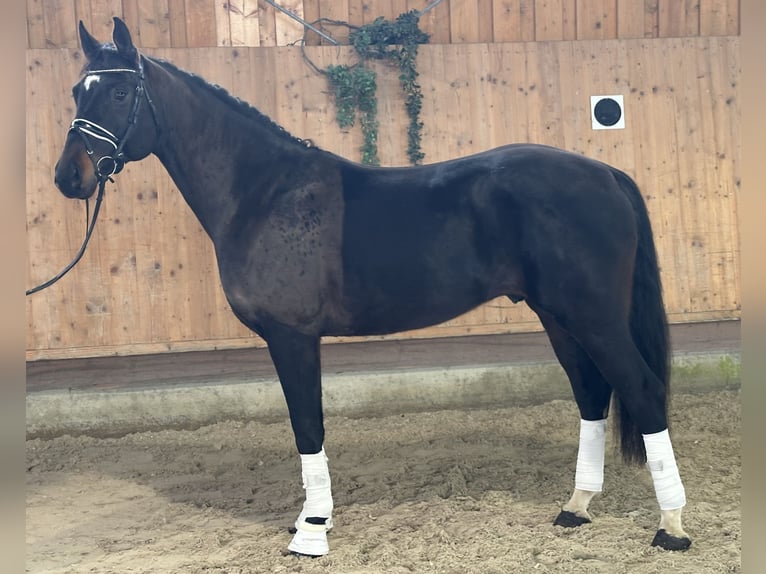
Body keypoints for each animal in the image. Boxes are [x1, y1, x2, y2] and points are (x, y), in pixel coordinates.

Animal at [53, 17, 692, 556]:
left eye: (118, 94)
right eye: (77, 91)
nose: (68, 177)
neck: (264, 192)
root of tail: (605, 174)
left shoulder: (291, 336)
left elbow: (307, 425)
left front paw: (311, 530)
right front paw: (312, 519)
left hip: (594, 316)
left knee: (640, 388)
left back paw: (672, 528)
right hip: (557, 315)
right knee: (591, 393)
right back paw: (576, 507)